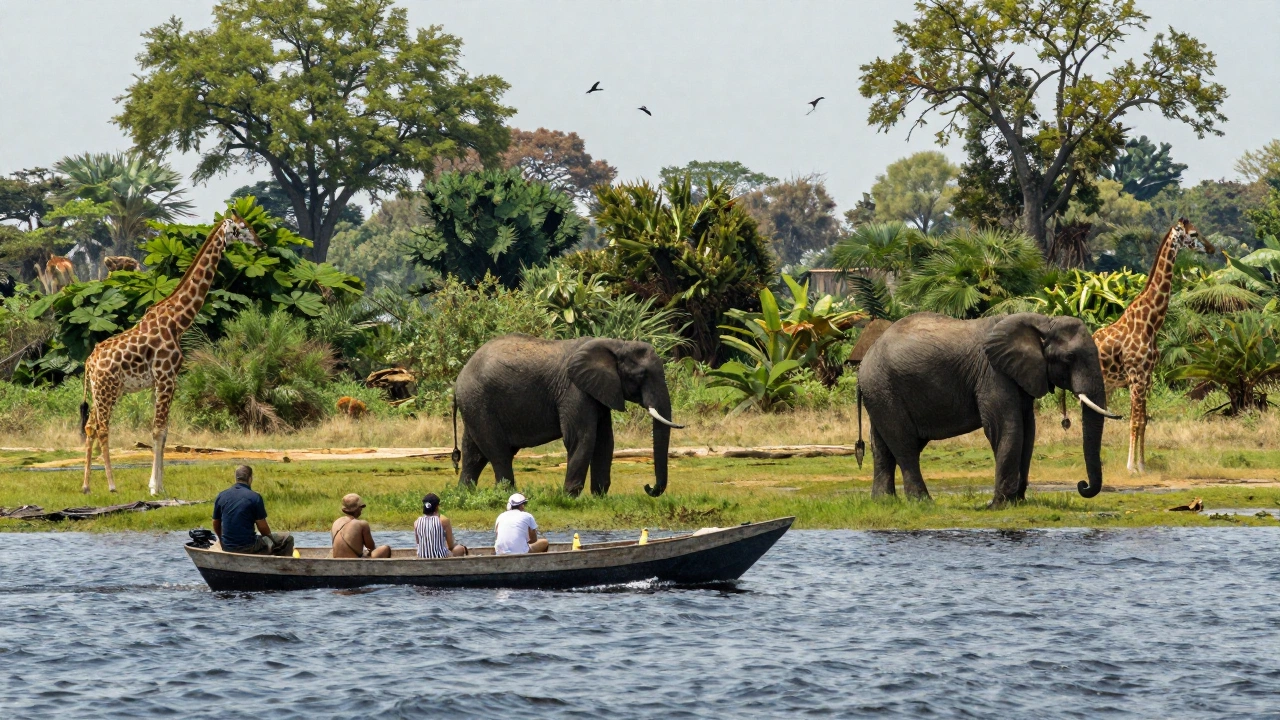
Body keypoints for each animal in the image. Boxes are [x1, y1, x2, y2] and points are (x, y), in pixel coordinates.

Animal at [80, 215, 262, 495]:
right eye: (242, 228)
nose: (261, 243)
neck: (178, 320)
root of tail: (89, 363)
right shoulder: (166, 376)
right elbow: (157, 430)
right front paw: (155, 488)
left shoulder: (163, 380)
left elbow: (164, 432)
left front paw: (159, 485)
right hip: (107, 390)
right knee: (102, 428)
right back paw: (111, 485)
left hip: (103, 390)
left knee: (90, 426)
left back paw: (87, 486)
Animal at [452, 335, 682, 497]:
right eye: (640, 376)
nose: (647, 486)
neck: (616, 344)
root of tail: (458, 379)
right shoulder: (574, 390)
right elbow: (582, 437)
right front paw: (569, 497)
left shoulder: (598, 391)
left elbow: (605, 441)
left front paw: (598, 497)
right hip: (479, 401)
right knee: (498, 452)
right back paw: (507, 494)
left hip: (474, 404)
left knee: (474, 453)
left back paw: (464, 493)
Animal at [858, 312, 1122, 506]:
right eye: (1068, 358)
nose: (1082, 485)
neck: (1043, 322)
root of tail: (864, 360)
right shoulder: (993, 373)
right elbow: (1007, 427)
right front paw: (999, 505)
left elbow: (1028, 431)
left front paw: (1018, 502)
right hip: (883, 387)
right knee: (905, 445)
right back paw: (924, 503)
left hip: (880, 392)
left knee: (883, 447)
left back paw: (884, 502)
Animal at [1092, 217, 1213, 473]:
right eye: (1194, 234)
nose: (1211, 249)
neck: (1151, 322)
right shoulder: (1136, 376)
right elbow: (1134, 420)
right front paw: (1131, 466)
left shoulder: (1146, 376)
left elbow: (1143, 421)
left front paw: (1142, 464)